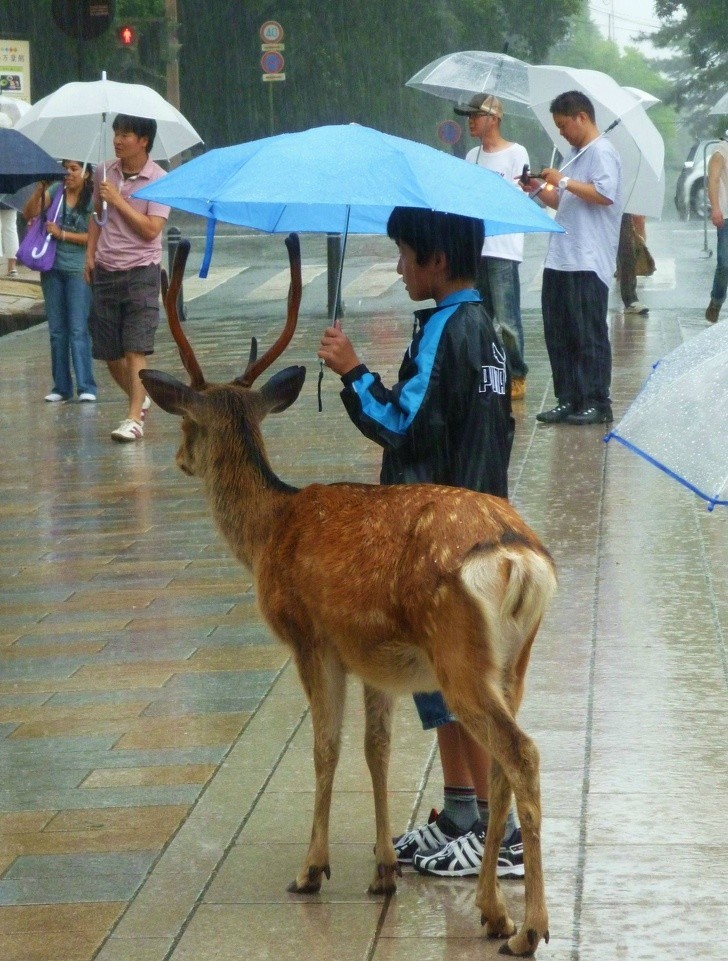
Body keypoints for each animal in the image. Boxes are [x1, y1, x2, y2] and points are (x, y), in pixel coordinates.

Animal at [144, 236, 556, 956]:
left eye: (187, 425)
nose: (179, 459)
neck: (269, 530)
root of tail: (519, 556)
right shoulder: (375, 658)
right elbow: (377, 749)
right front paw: (384, 870)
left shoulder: (311, 636)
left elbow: (326, 747)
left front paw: (312, 868)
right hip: (514, 660)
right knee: (503, 764)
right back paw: (490, 910)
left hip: (459, 654)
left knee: (522, 755)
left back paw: (527, 925)